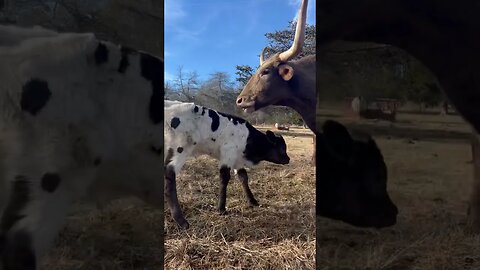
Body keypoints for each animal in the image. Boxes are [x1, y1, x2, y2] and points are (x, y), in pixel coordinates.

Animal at [163, 100, 290, 229]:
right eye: (282, 148)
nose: (288, 159)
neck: (247, 138)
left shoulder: (237, 160)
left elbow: (243, 177)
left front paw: (252, 201)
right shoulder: (228, 154)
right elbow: (224, 179)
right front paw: (221, 208)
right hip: (180, 149)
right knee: (169, 177)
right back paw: (181, 221)